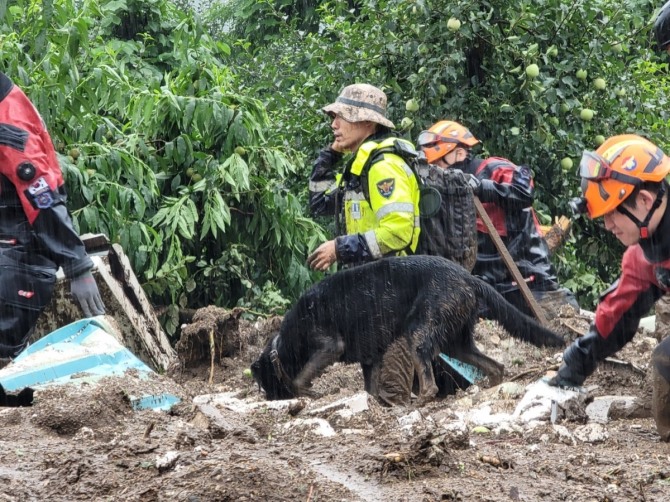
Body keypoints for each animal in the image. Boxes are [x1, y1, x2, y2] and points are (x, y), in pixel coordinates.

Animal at [253, 255, 568, 404]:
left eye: (266, 385)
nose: (269, 401)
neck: (282, 345)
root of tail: (469, 277)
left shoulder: (330, 346)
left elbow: (299, 379)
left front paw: (311, 393)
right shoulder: (371, 358)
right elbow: (370, 389)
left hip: (420, 333)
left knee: (430, 385)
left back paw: (419, 402)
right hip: (456, 343)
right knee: (495, 366)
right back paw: (490, 386)